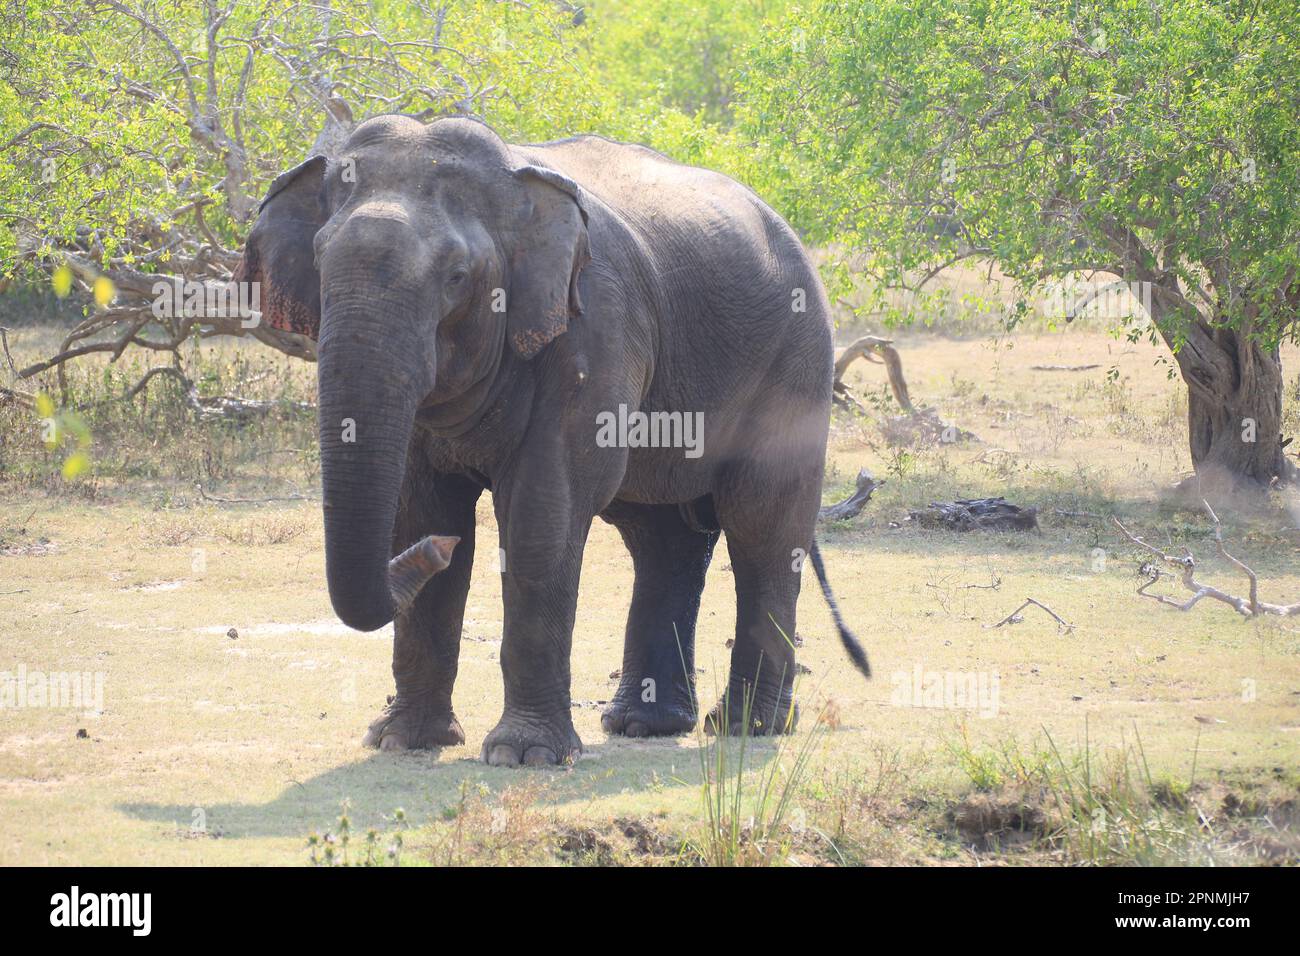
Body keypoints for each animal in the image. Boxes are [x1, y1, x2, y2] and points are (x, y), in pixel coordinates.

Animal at [234, 114, 869, 767]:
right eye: (319, 262)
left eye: (456, 277)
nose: (438, 551)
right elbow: (420, 510)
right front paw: (401, 740)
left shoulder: (594, 327)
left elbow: (542, 515)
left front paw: (523, 757)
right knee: (662, 538)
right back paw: (643, 724)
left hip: (797, 358)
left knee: (762, 526)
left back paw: (748, 727)